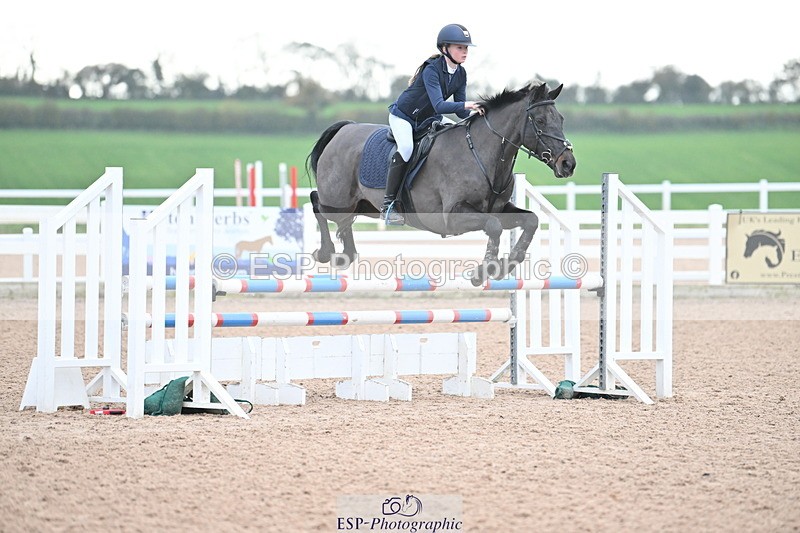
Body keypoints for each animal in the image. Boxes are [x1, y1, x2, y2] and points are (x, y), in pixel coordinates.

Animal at [306, 81, 576, 285]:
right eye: (539, 121)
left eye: (562, 119)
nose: (568, 164)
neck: (483, 154)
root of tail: (345, 129)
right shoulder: (453, 216)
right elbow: (494, 226)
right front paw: (485, 270)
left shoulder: (499, 209)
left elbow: (529, 221)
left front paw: (504, 266)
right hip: (337, 201)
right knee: (316, 202)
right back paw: (326, 252)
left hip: (364, 206)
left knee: (342, 220)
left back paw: (346, 255)